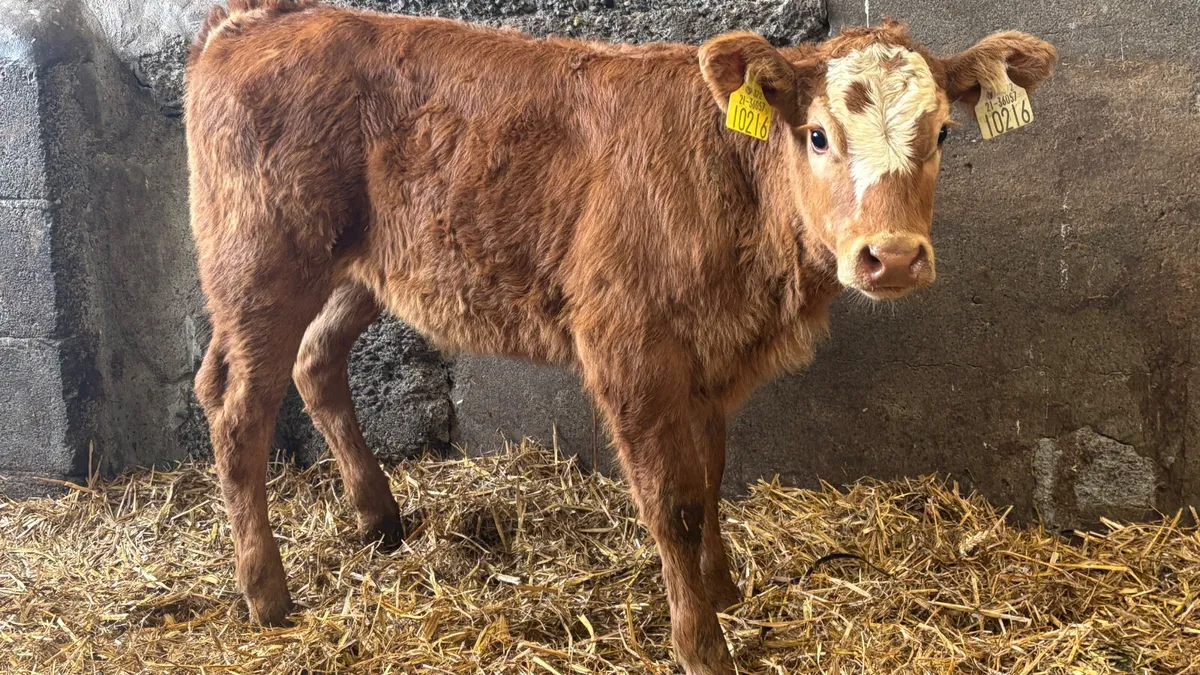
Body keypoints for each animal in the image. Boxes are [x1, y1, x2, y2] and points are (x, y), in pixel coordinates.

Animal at [185, 2, 1056, 672]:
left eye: (943, 134)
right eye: (816, 134)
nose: (894, 256)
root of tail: (261, 17)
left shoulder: (711, 352)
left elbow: (709, 479)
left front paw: (725, 588)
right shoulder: (627, 345)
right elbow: (669, 500)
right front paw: (702, 643)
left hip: (361, 265)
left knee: (315, 361)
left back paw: (379, 519)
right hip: (261, 254)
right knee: (236, 401)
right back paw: (267, 594)